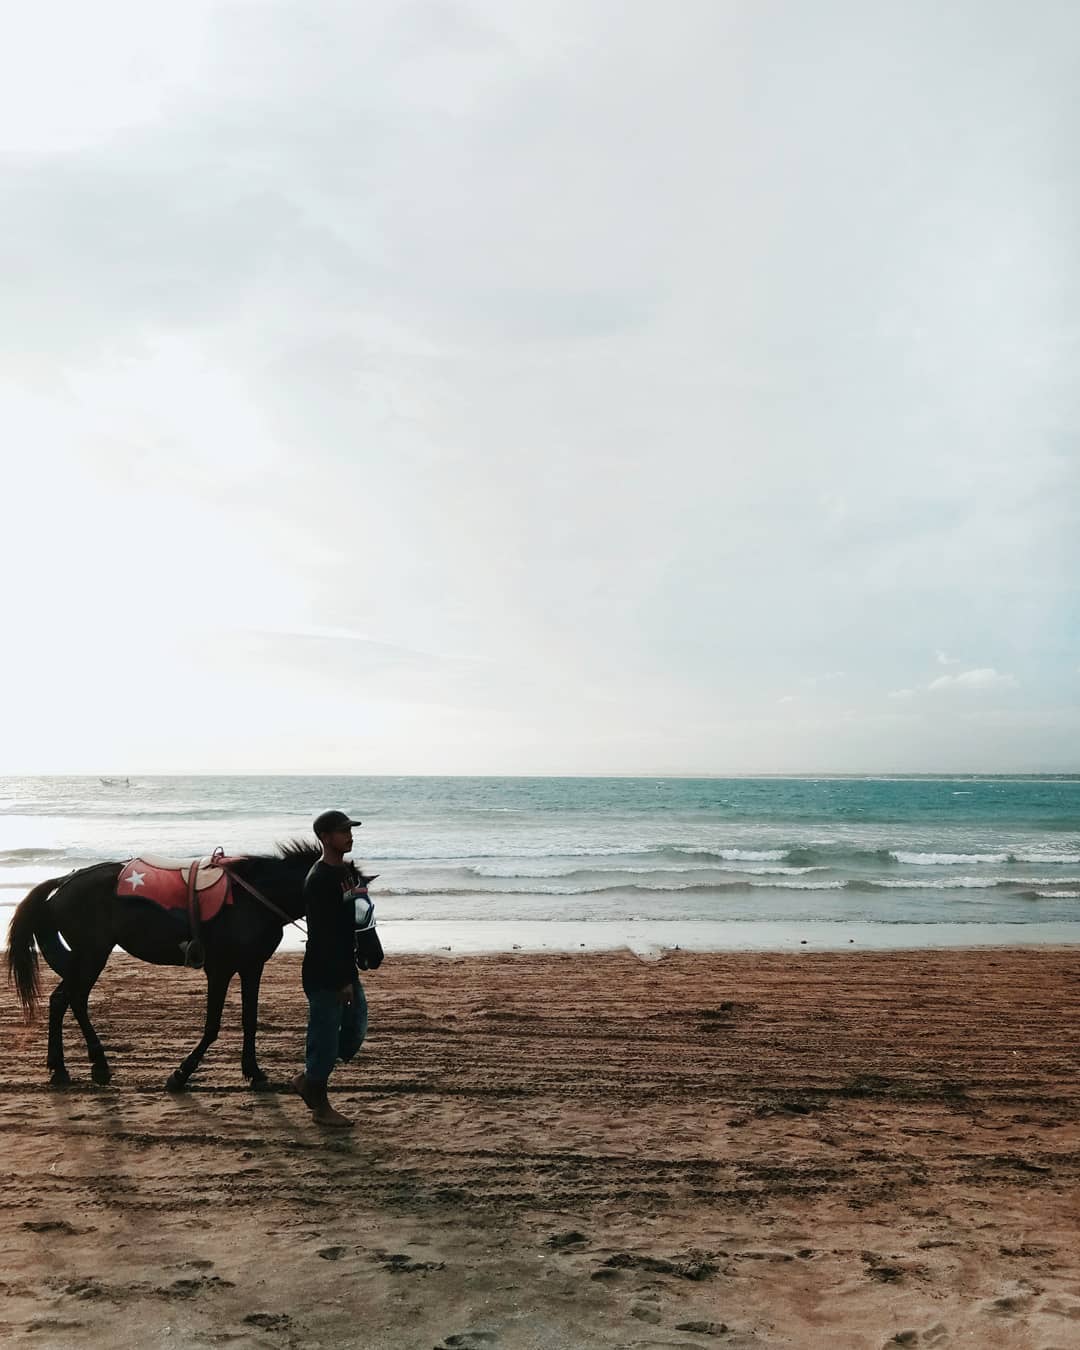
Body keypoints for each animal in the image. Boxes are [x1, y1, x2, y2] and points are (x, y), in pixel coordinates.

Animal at [6, 837, 318, 1090]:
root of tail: (64, 882)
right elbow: (212, 1026)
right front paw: (181, 1074)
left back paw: (61, 1067)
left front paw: (254, 1071)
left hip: (83, 958)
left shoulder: (252, 966)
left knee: (62, 999)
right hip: (92, 954)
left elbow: (250, 1021)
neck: (255, 897)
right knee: (74, 999)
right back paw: (97, 1065)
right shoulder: (219, 969)